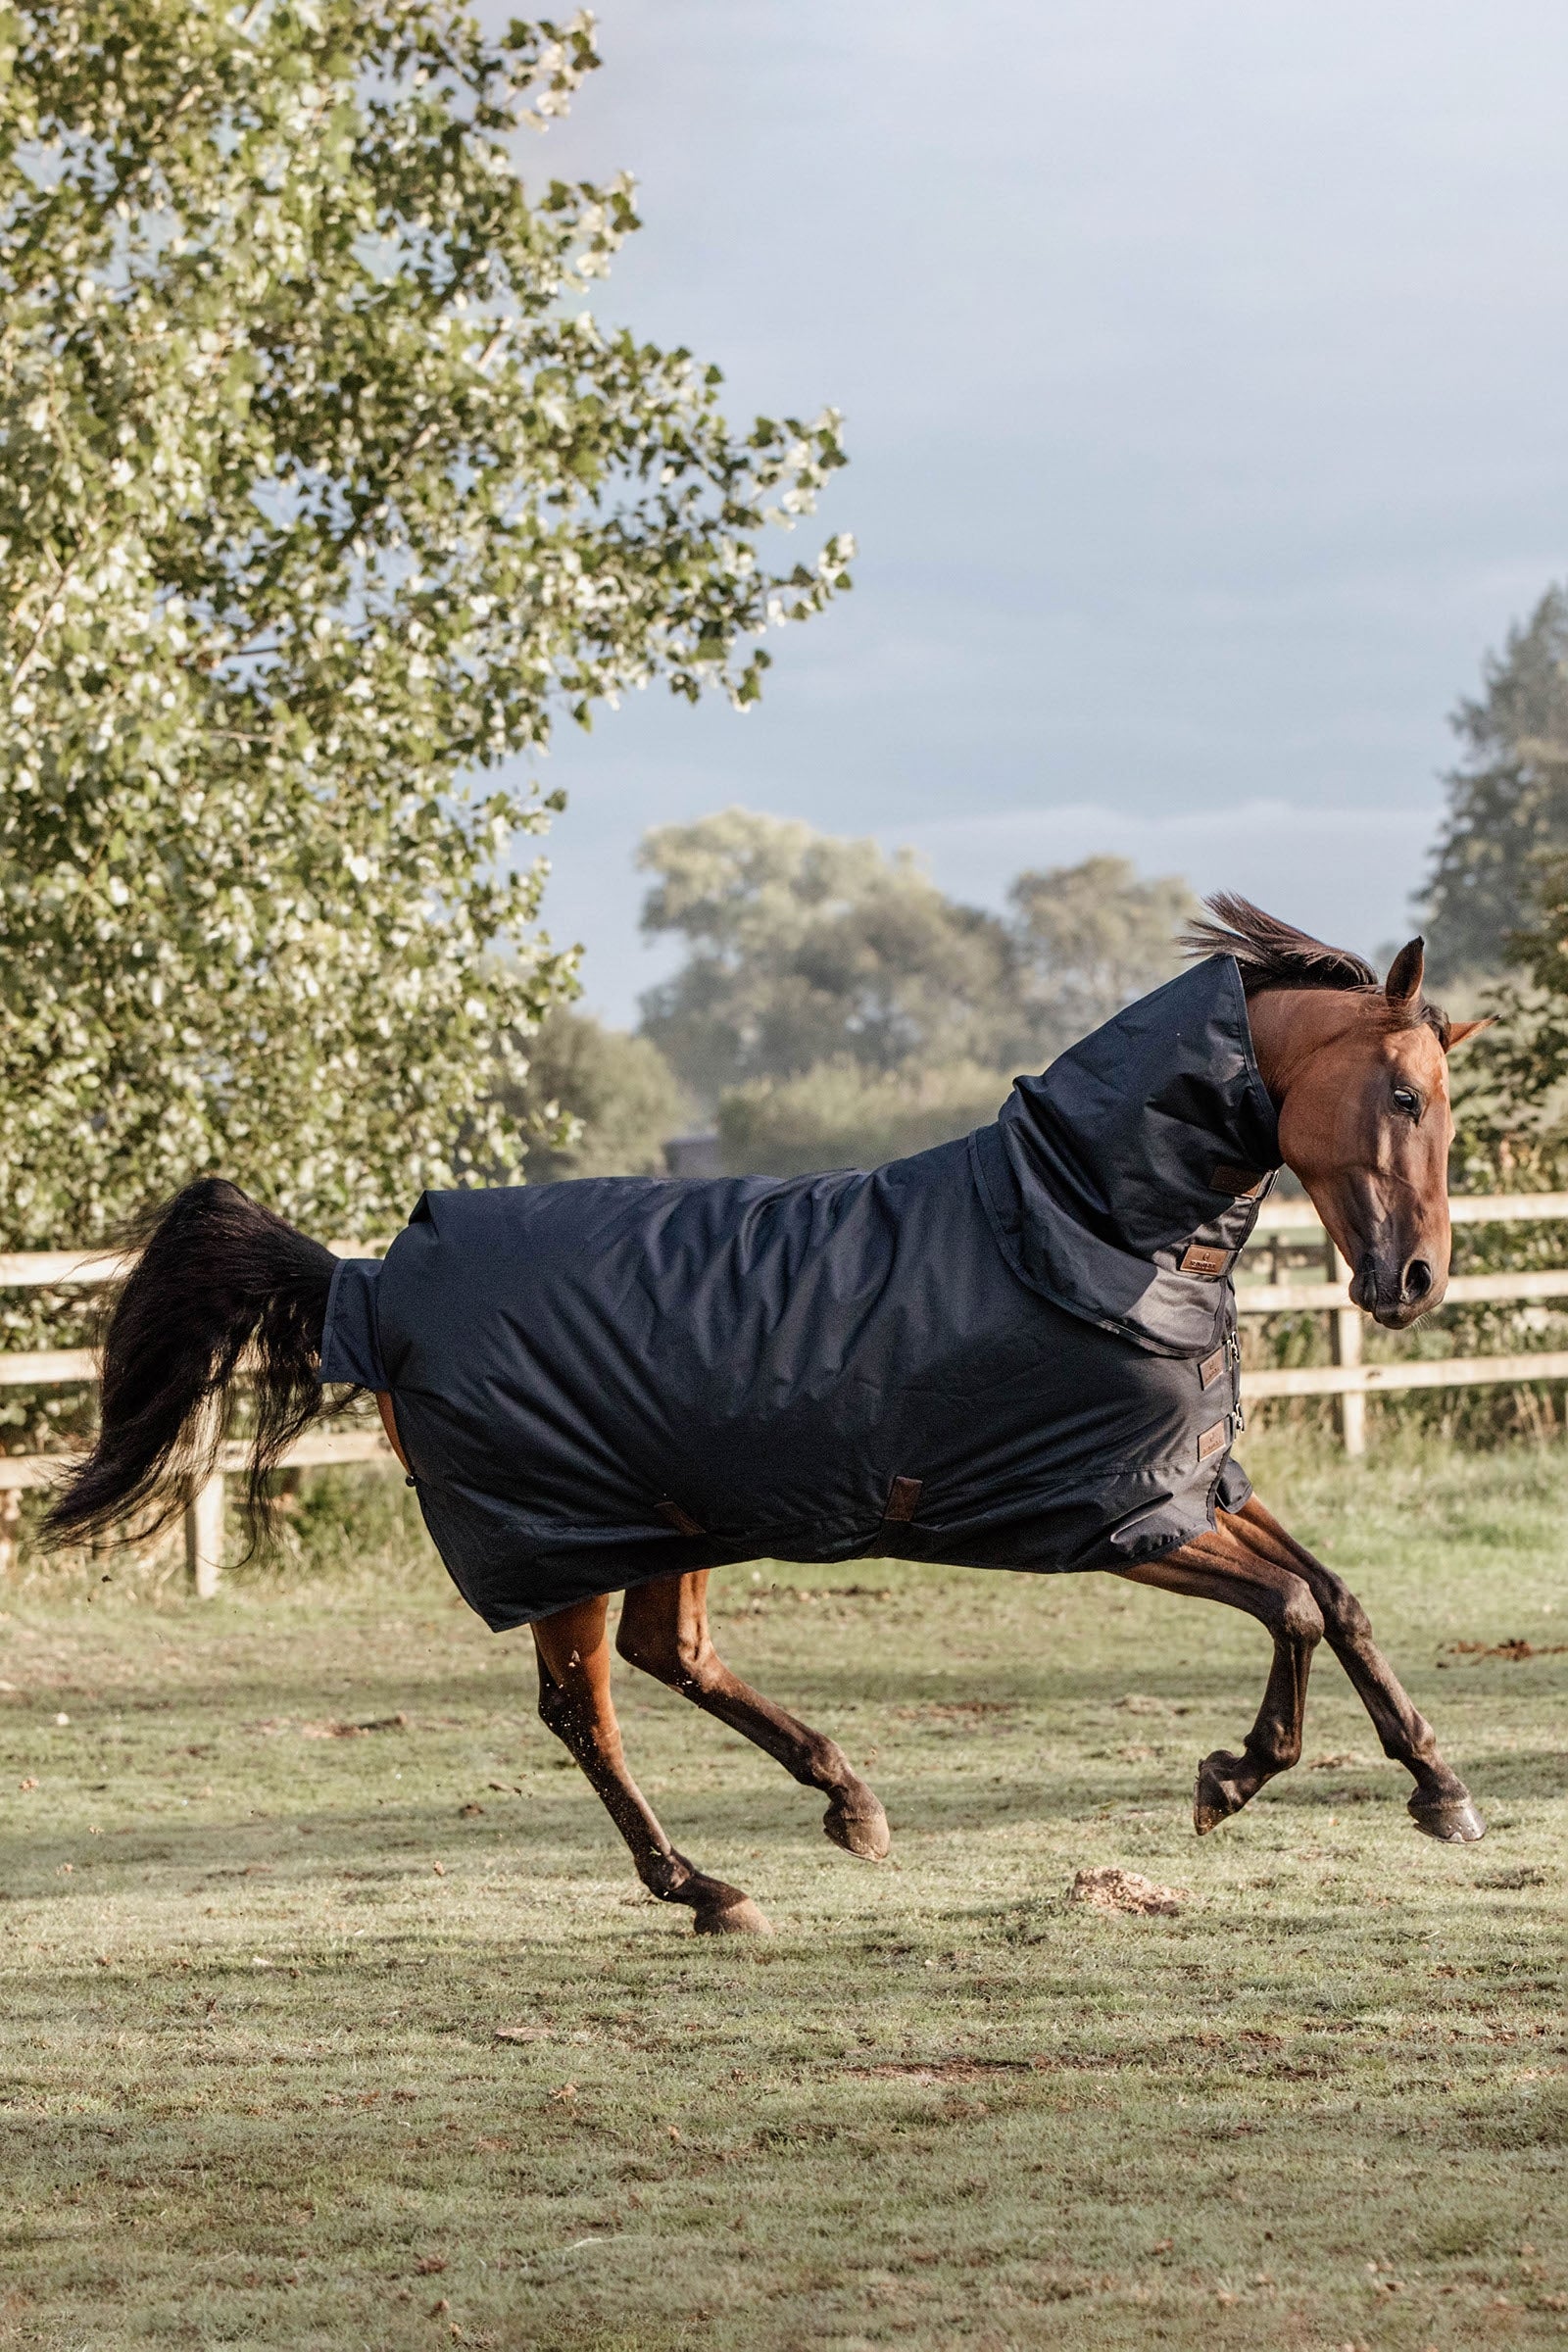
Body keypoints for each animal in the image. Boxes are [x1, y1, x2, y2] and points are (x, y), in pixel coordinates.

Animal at [47, 898, 1490, 1936]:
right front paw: (1229, 1780)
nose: (1415, 1282)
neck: (1084, 1222)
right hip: (568, 1542)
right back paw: (706, 1889)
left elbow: (1340, 1599)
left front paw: (1440, 1790)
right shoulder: (1117, 1516)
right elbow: (1293, 1608)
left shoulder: (1195, 1484)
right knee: (586, 1710)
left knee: (667, 1657)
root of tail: (366, 1278)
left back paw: (844, 1802)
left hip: (665, 1522)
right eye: (1403, 1096)